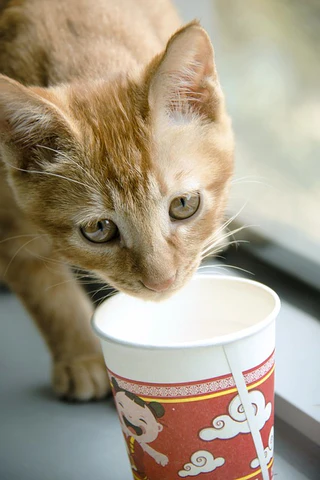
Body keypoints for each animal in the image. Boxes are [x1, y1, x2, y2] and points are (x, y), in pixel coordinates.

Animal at [0, 0, 235, 402]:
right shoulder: (8, 222)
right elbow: (45, 292)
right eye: (98, 229)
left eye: (183, 205)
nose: (162, 283)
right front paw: (81, 356)